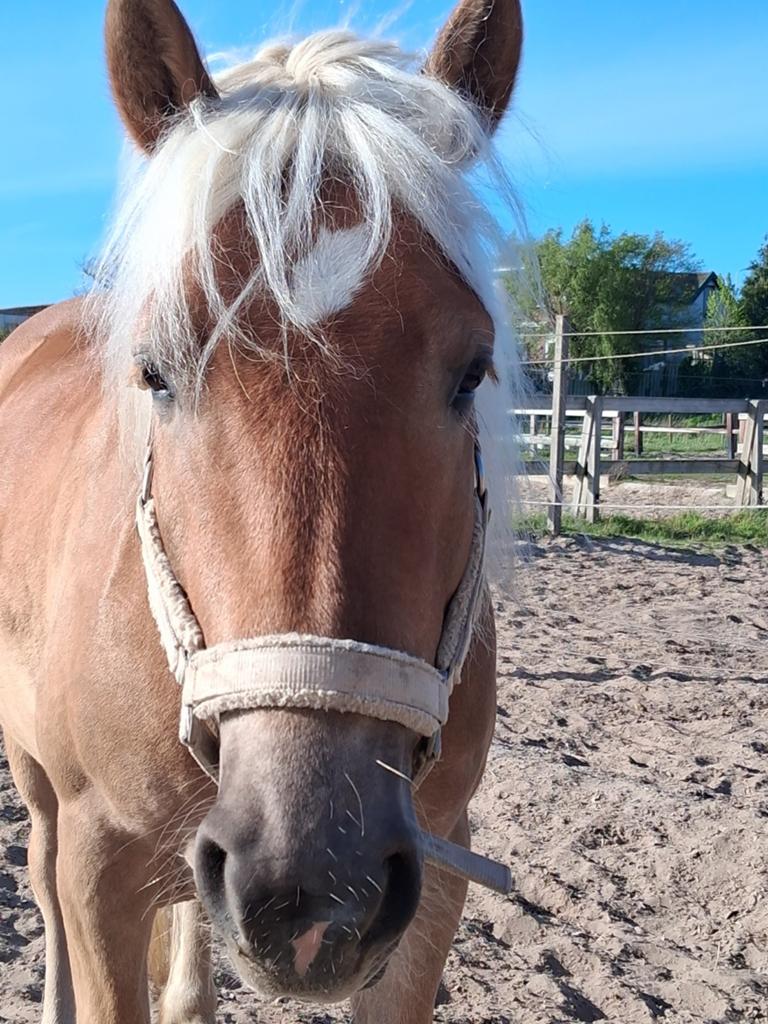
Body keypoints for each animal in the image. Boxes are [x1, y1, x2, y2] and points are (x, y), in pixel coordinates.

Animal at [0, 0, 524, 1020]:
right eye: (155, 373)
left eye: (470, 371)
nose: (312, 885)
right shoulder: (95, 871)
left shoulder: (435, 880)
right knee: (37, 877)